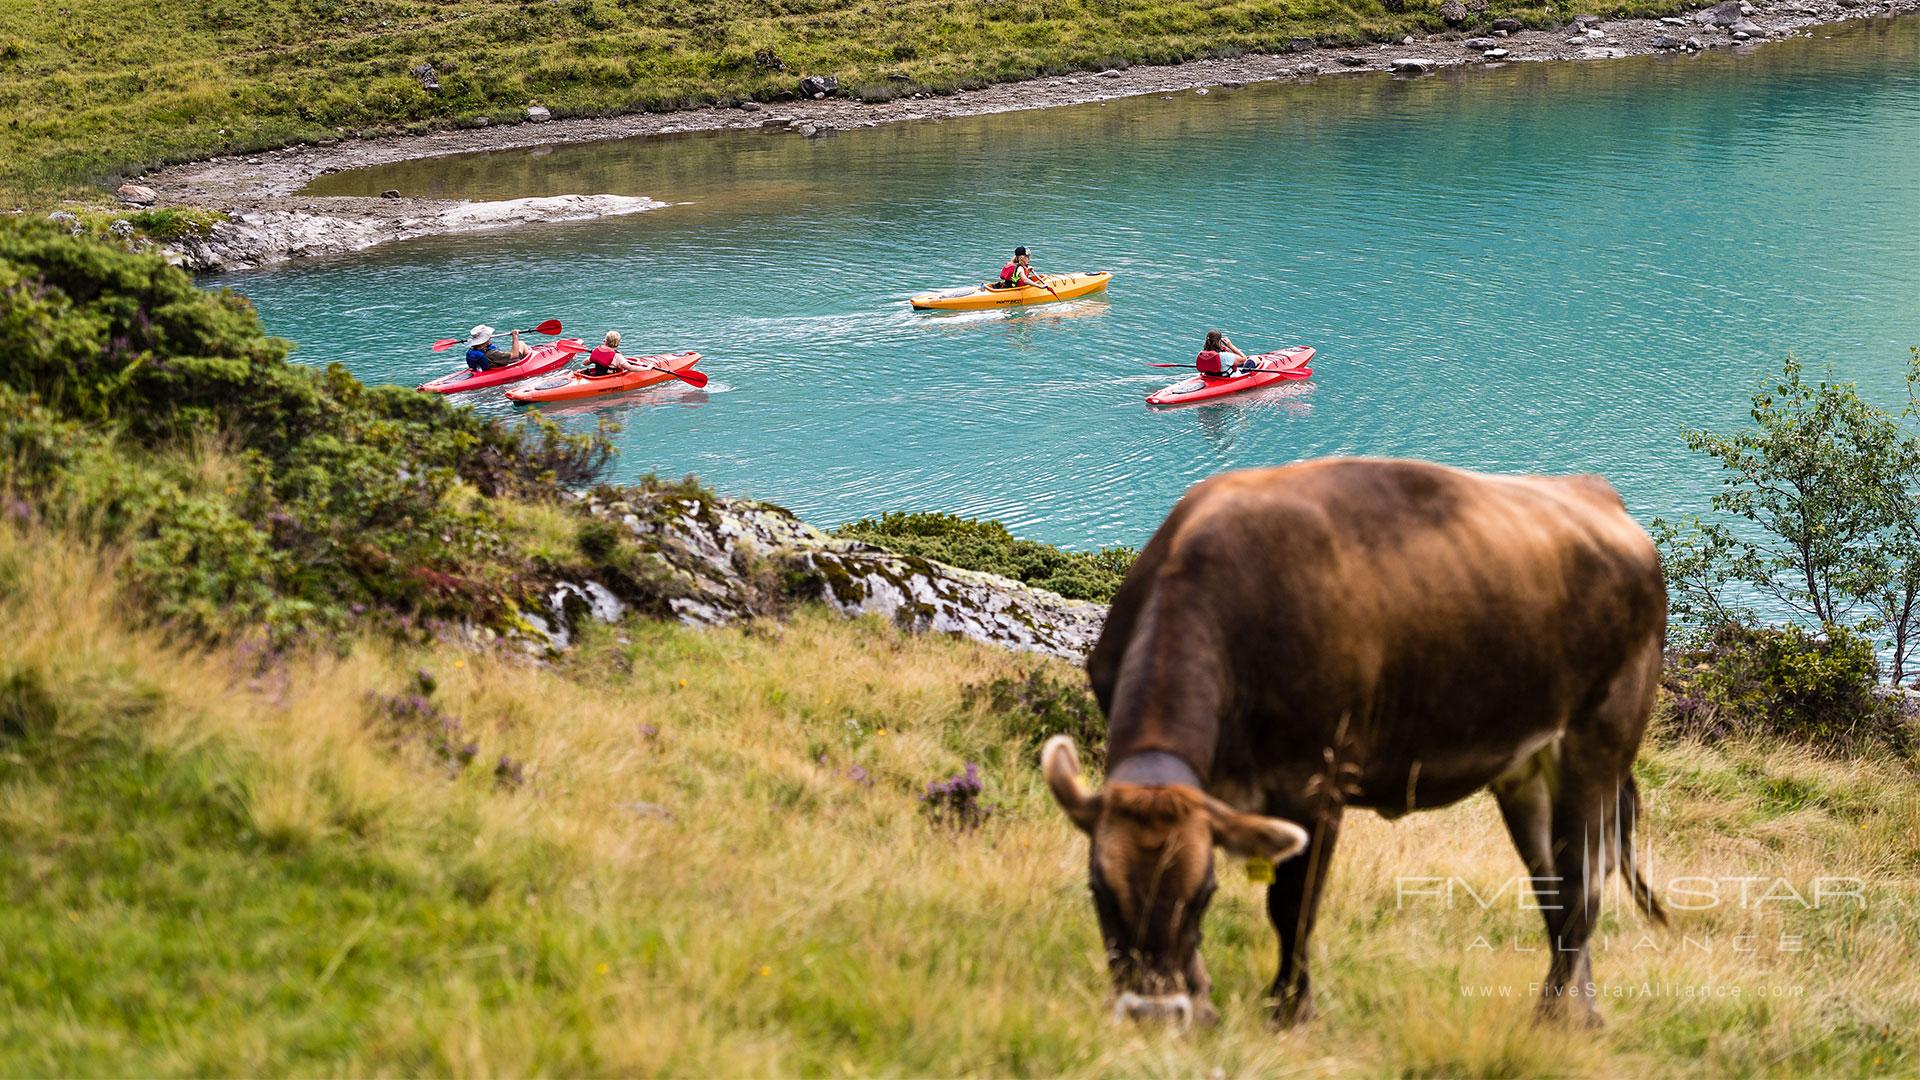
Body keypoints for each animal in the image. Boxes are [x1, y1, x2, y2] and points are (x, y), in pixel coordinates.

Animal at [1052, 453, 1666, 1022]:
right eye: (1097, 889)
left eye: (1204, 892)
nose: (1152, 1013)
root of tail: (1597, 495)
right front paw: (1204, 999)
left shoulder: (1314, 781)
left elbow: (1292, 905)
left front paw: (1290, 1011)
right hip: (1527, 768)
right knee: (1554, 888)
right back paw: (1584, 1019)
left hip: (1597, 746)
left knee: (1582, 890)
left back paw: (1548, 1021)